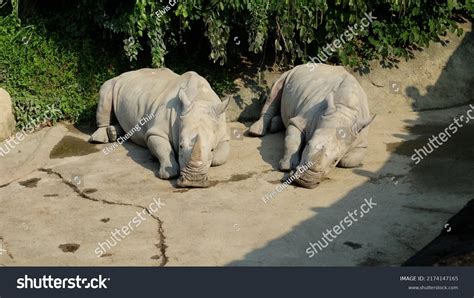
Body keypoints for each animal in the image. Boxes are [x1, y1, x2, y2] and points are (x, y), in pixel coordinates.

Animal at [90, 68, 231, 187]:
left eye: (212, 149)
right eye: (180, 146)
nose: (194, 181)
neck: (200, 99)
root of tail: (126, 73)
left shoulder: (223, 135)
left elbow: (219, 158)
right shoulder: (156, 132)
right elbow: (164, 148)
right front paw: (168, 172)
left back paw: (113, 133)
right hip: (113, 82)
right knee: (106, 91)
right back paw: (99, 139)